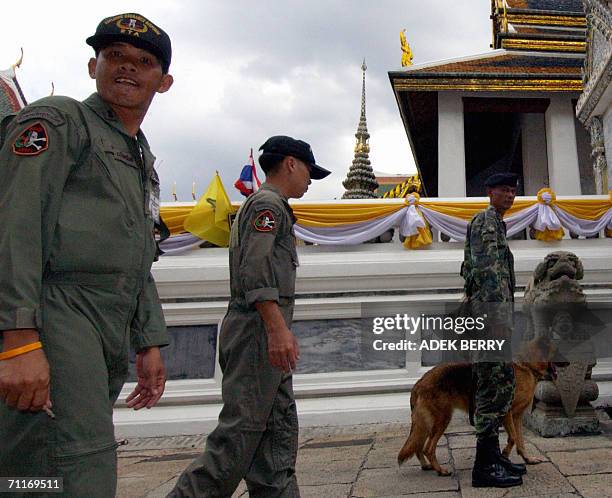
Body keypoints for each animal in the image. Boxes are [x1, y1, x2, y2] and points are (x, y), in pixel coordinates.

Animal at [396, 336, 556, 476]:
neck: (527, 366)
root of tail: (419, 383)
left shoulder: (517, 417)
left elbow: (520, 441)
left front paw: (527, 459)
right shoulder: (507, 413)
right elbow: (513, 438)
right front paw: (504, 454)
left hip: (427, 423)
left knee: (418, 445)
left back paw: (426, 465)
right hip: (442, 420)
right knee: (428, 448)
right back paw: (440, 470)